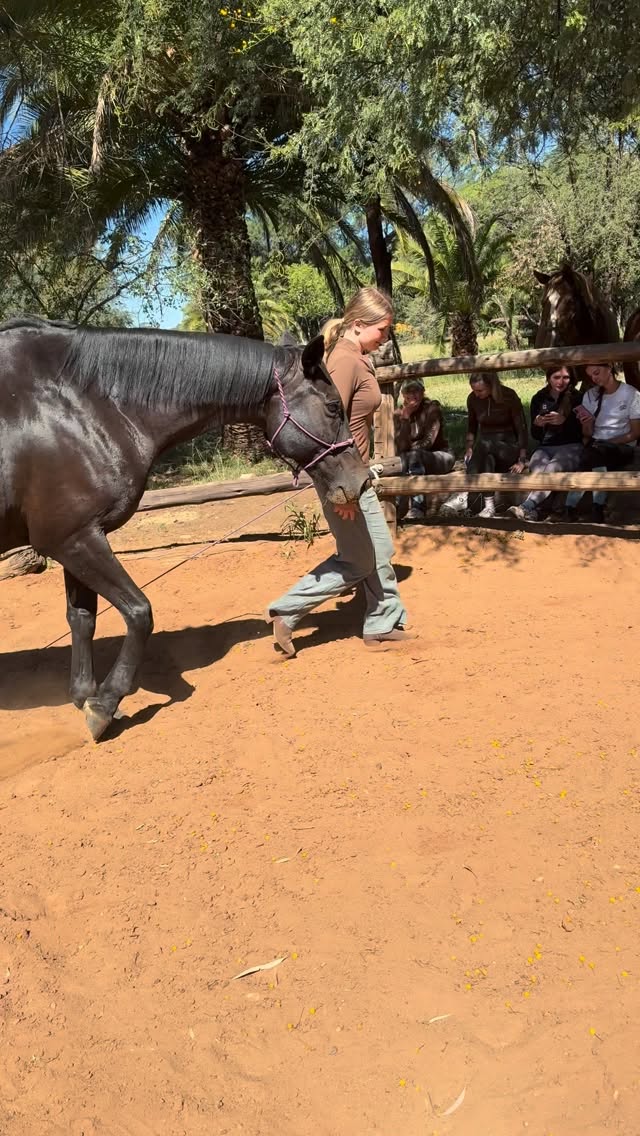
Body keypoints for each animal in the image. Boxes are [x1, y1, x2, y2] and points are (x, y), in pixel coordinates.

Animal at [0, 316, 369, 740]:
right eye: (333, 406)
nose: (361, 481)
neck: (83, 405)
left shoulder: (74, 538)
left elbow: (81, 619)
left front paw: (84, 696)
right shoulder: (75, 541)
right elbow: (139, 612)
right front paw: (104, 704)